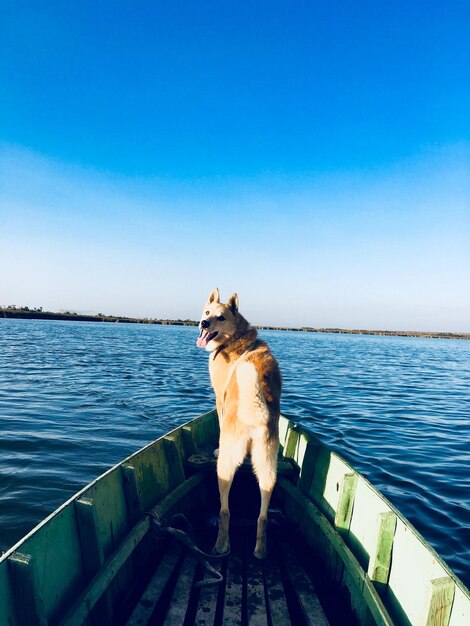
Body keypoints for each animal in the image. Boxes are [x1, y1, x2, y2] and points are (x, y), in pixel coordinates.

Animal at [196, 288, 280, 556]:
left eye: (220, 317)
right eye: (207, 312)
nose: (203, 323)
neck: (235, 339)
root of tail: (257, 413)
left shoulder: (219, 398)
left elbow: (219, 423)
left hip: (225, 466)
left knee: (225, 510)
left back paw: (221, 546)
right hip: (267, 470)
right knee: (262, 516)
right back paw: (261, 551)